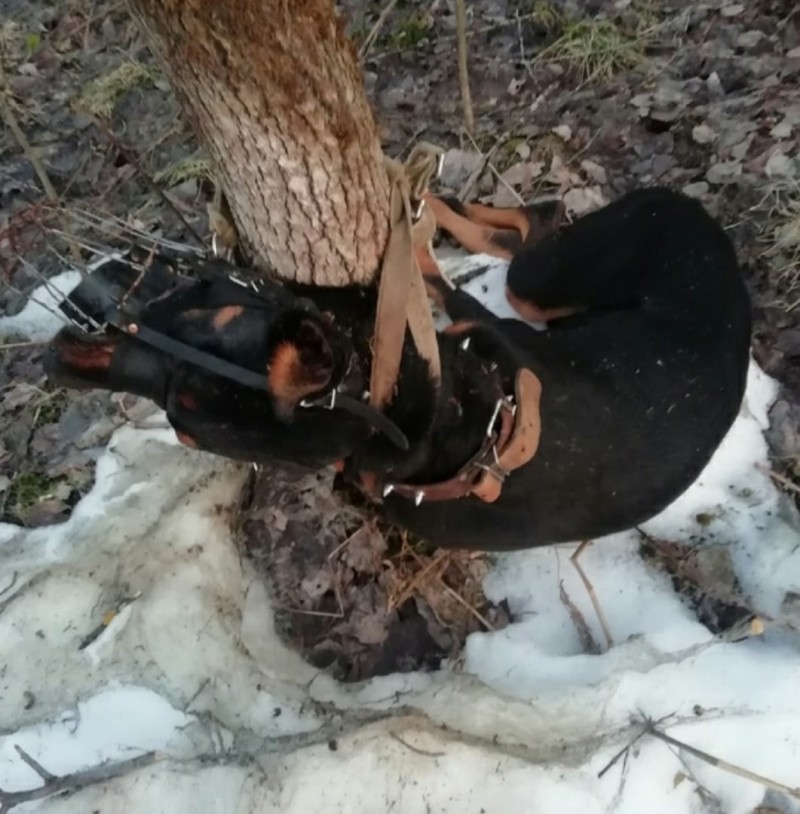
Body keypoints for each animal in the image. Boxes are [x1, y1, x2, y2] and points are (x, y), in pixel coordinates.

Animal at [45, 188, 752, 552]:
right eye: (177, 424)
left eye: (203, 299)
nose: (82, 313)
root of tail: (692, 210)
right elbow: (433, 283)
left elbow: (429, 282)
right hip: (537, 288)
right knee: (532, 220)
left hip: (538, 283)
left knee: (533, 224)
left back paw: (433, 201)